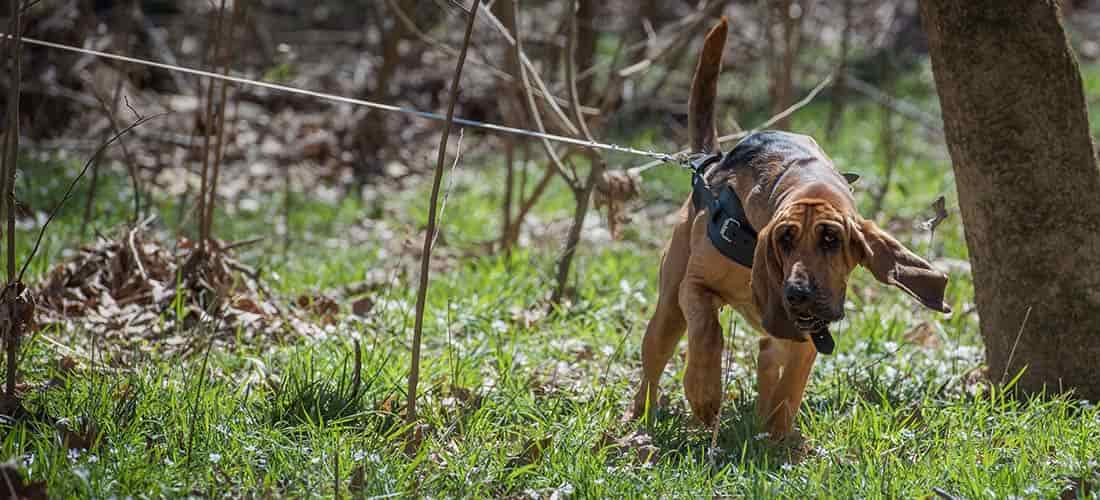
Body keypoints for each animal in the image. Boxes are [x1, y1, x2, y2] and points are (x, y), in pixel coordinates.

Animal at [629, 17, 954, 439]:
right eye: (784, 240)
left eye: (832, 240)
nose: (798, 293)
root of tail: (710, 161)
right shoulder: (695, 286)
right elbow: (707, 332)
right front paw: (704, 393)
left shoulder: (808, 331)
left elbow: (791, 381)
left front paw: (779, 434)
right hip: (668, 309)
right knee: (655, 361)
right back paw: (640, 417)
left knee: (769, 357)